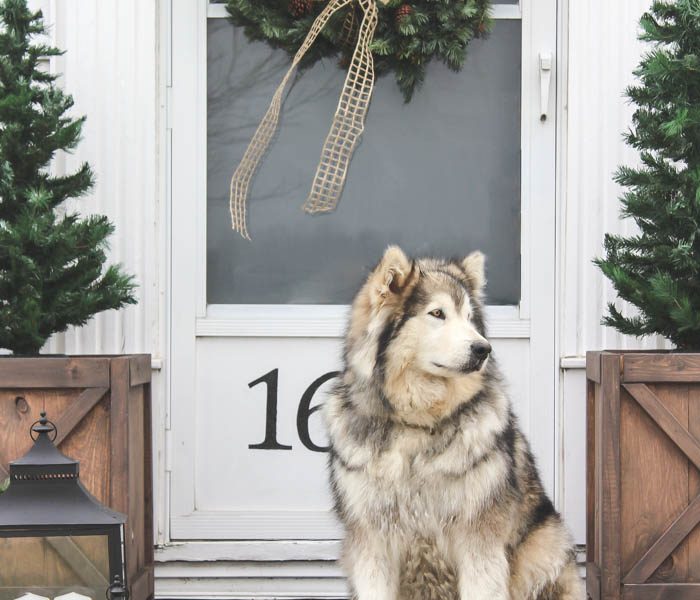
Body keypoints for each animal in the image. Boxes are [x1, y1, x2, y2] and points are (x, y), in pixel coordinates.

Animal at [324, 246, 584, 596]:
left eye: (470, 318)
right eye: (438, 313)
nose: (483, 349)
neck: (418, 425)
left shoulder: (479, 540)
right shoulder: (372, 542)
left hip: (544, 547)